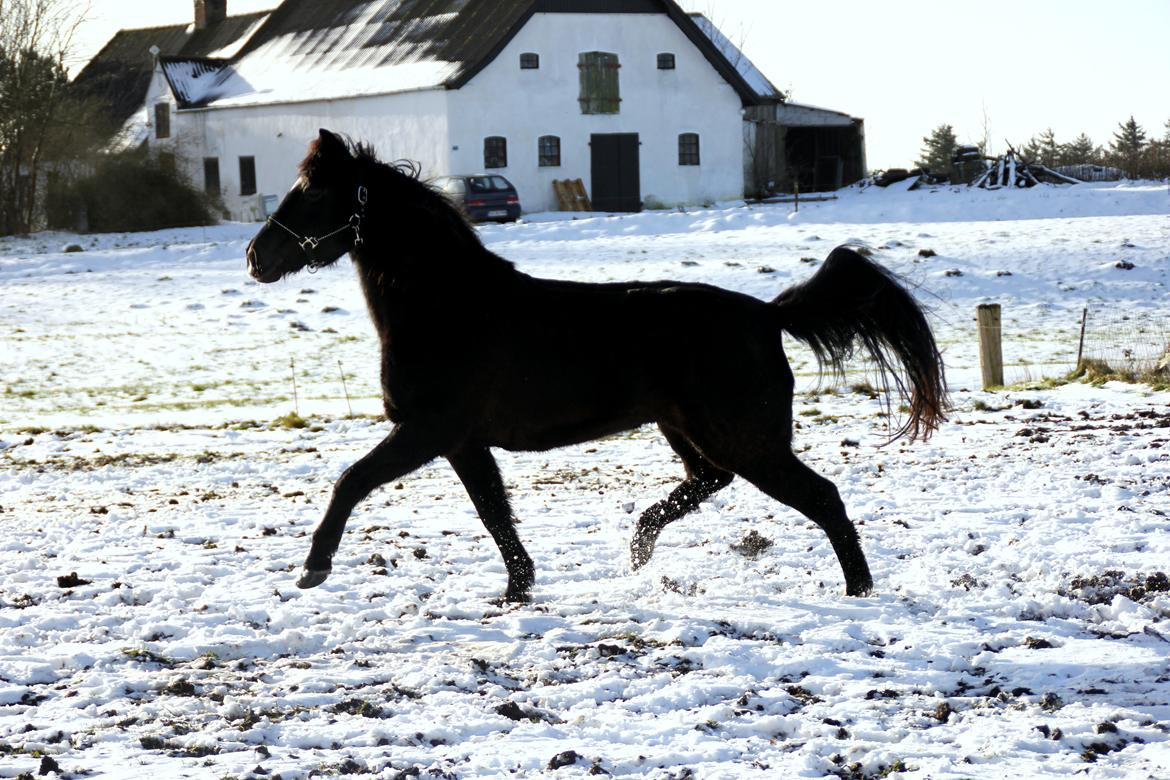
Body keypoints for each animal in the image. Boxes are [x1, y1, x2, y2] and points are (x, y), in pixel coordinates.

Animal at [244, 130, 940, 603]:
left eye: (313, 191)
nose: (256, 256)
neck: (449, 307)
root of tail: (765, 314)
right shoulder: (464, 442)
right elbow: (494, 514)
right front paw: (517, 591)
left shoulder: (427, 431)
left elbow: (350, 482)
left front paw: (312, 569)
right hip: (690, 432)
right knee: (708, 483)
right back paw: (639, 548)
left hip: (745, 439)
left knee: (821, 497)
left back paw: (857, 591)